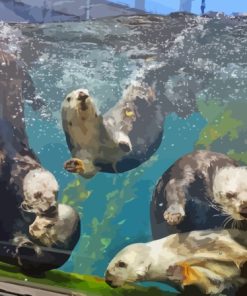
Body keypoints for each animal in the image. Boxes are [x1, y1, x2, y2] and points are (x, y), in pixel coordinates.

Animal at [105, 229, 247, 294]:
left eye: (121, 264)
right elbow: (211, 285)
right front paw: (179, 273)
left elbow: (233, 250)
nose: (108, 280)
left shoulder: (203, 242)